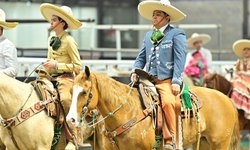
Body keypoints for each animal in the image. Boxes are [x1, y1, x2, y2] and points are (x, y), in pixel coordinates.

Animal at [67, 67, 239, 150]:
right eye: (71, 91)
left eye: (84, 92)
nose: (71, 119)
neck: (126, 112)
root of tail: (227, 100)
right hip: (204, 142)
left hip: (220, 143)